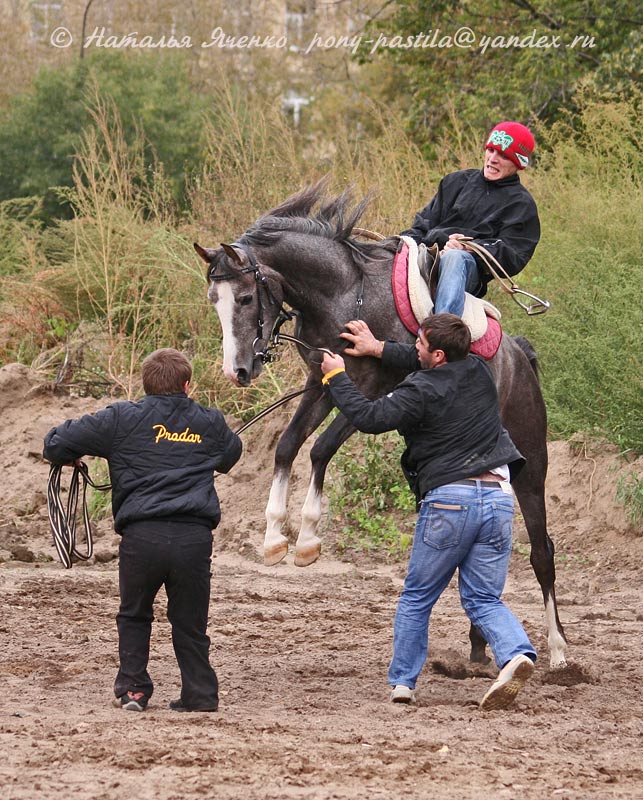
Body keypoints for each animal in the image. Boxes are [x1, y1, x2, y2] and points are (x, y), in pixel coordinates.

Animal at [195, 181, 568, 668]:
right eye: (214, 302)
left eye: (243, 299)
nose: (238, 371)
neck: (345, 296)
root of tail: (520, 357)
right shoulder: (322, 385)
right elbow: (288, 445)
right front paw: (275, 535)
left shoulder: (372, 393)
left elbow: (320, 449)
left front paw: (307, 539)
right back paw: (478, 646)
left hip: (531, 468)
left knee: (542, 552)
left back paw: (558, 650)